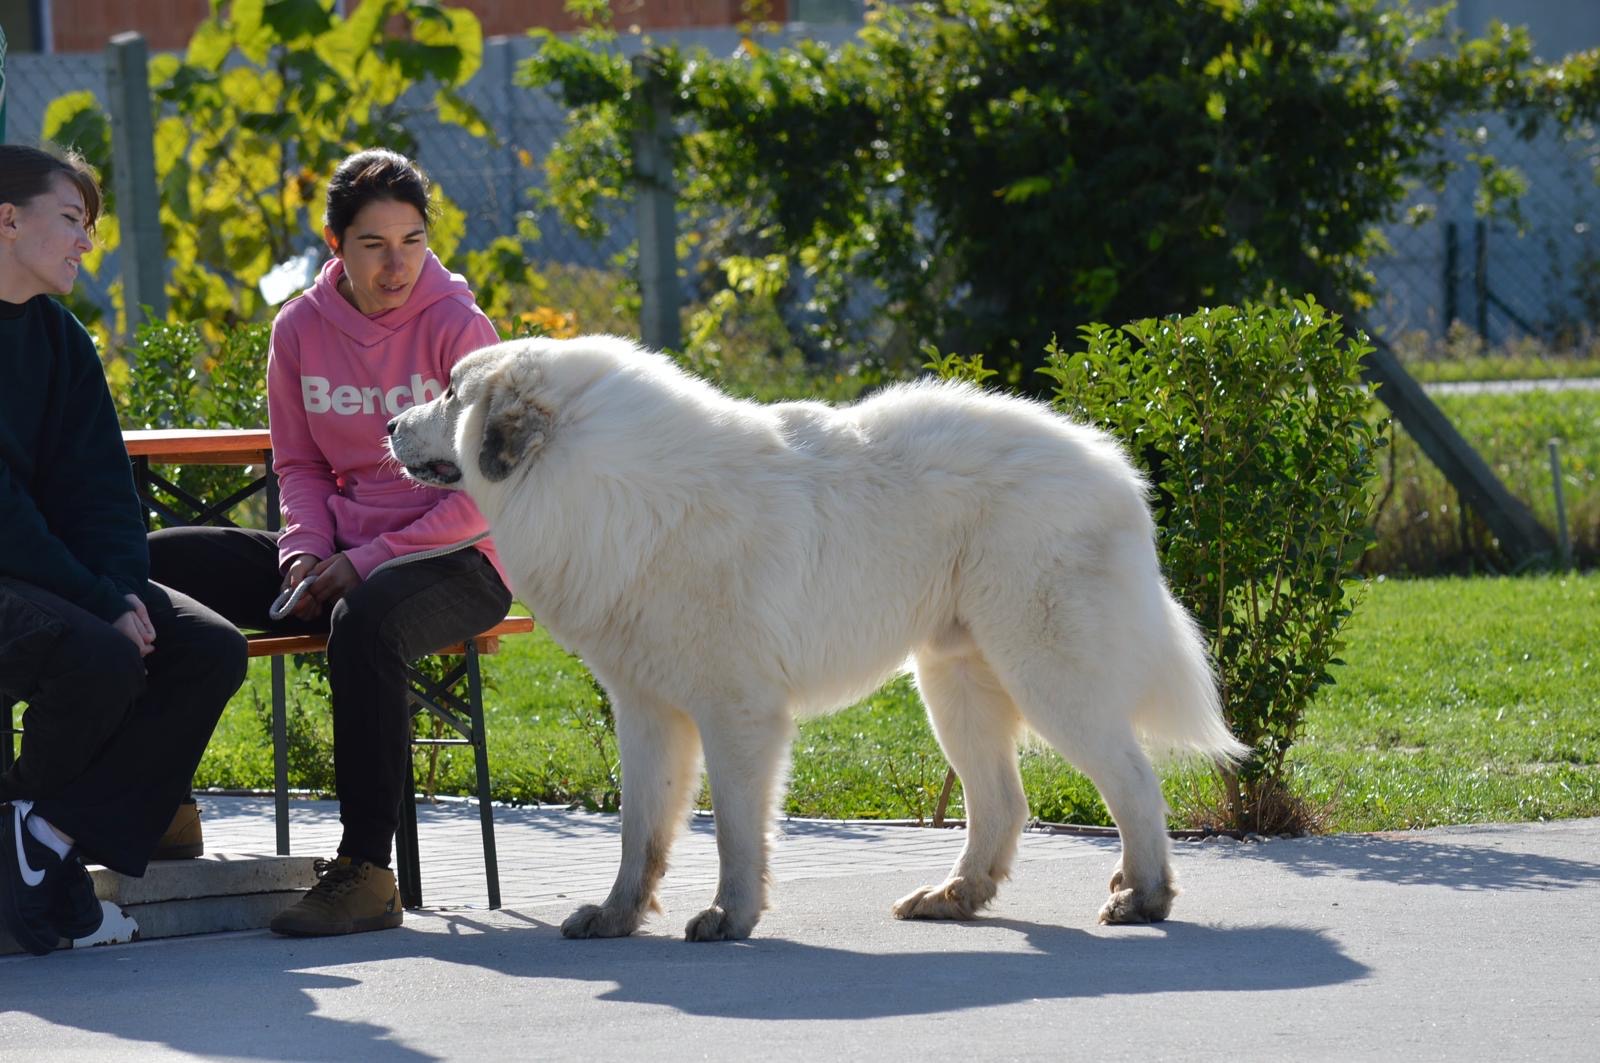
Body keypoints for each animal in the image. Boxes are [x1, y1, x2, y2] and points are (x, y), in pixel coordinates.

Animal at [384, 336, 1235, 941]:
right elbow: (640, 829)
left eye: (452, 391)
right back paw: (955, 895)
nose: (388, 424)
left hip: (1048, 672)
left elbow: (734, 828)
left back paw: (1145, 895)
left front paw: (729, 916)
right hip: (955, 684)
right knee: (1002, 800)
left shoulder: (738, 712)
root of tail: (1113, 467)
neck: (605, 485)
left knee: (1132, 778)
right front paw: (618, 914)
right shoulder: (648, 710)